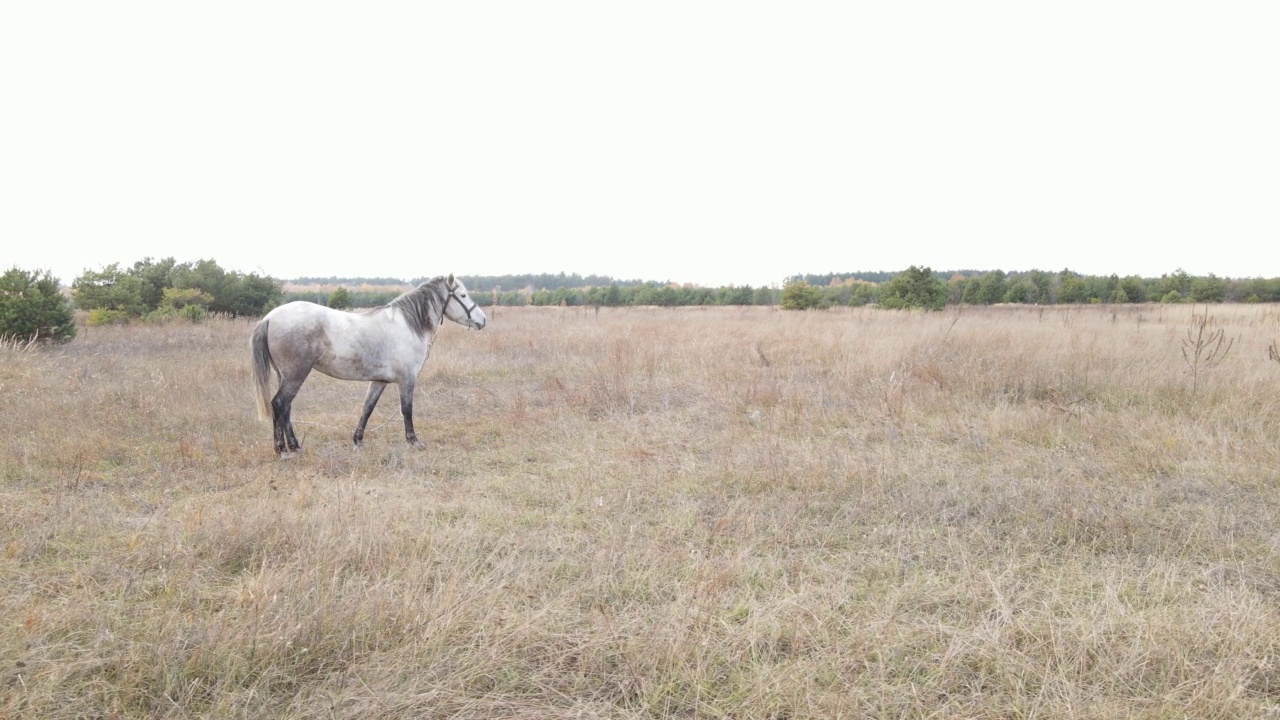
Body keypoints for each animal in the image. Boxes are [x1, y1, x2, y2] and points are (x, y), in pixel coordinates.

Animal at [249, 274, 483, 453]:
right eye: (463, 295)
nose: (482, 320)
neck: (408, 325)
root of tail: (269, 317)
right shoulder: (407, 380)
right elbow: (406, 410)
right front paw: (414, 441)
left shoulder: (379, 381)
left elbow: (367, 409)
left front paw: (358, 441)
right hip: (296, 374)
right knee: (279, 405)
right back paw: (281, 450)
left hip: (285, 375)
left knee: (286, 409)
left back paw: (295, 447)